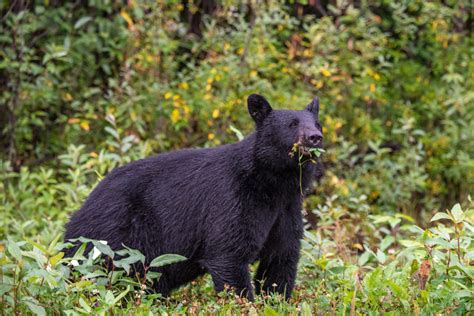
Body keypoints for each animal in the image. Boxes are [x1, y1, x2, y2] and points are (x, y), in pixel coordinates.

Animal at [64, 92, 322, 300]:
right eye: (292, 124)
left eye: (316, 123)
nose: (315, 137)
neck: (272, 183)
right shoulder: (234, 199)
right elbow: (229, 253)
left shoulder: (287, 207)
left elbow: (280, 258)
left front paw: (277, 300)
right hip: (114, 237)